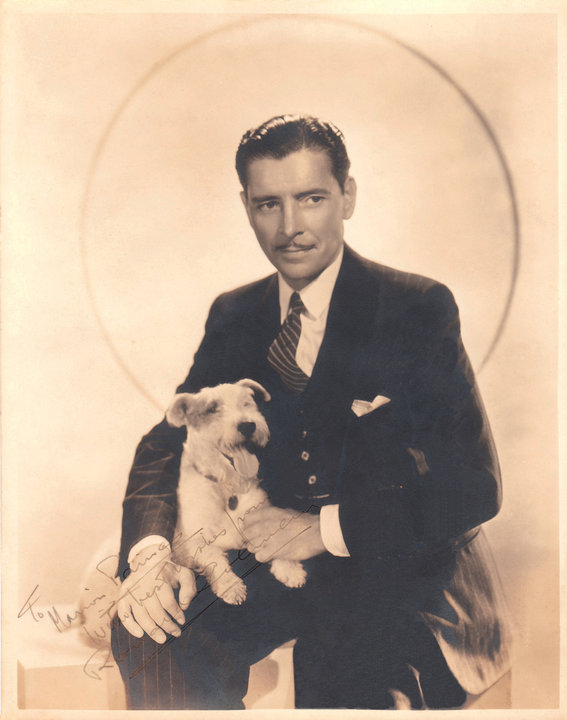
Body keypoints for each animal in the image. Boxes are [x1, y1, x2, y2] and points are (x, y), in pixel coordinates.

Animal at [165, 378, 306, 605]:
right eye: (212, 408)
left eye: (246, 403)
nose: (248, 425)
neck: (226, 486)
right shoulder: (195, 540)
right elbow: (214, 561)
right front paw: (230, 587)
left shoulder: (260, 516)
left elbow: (275, 535)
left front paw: (289, 569)